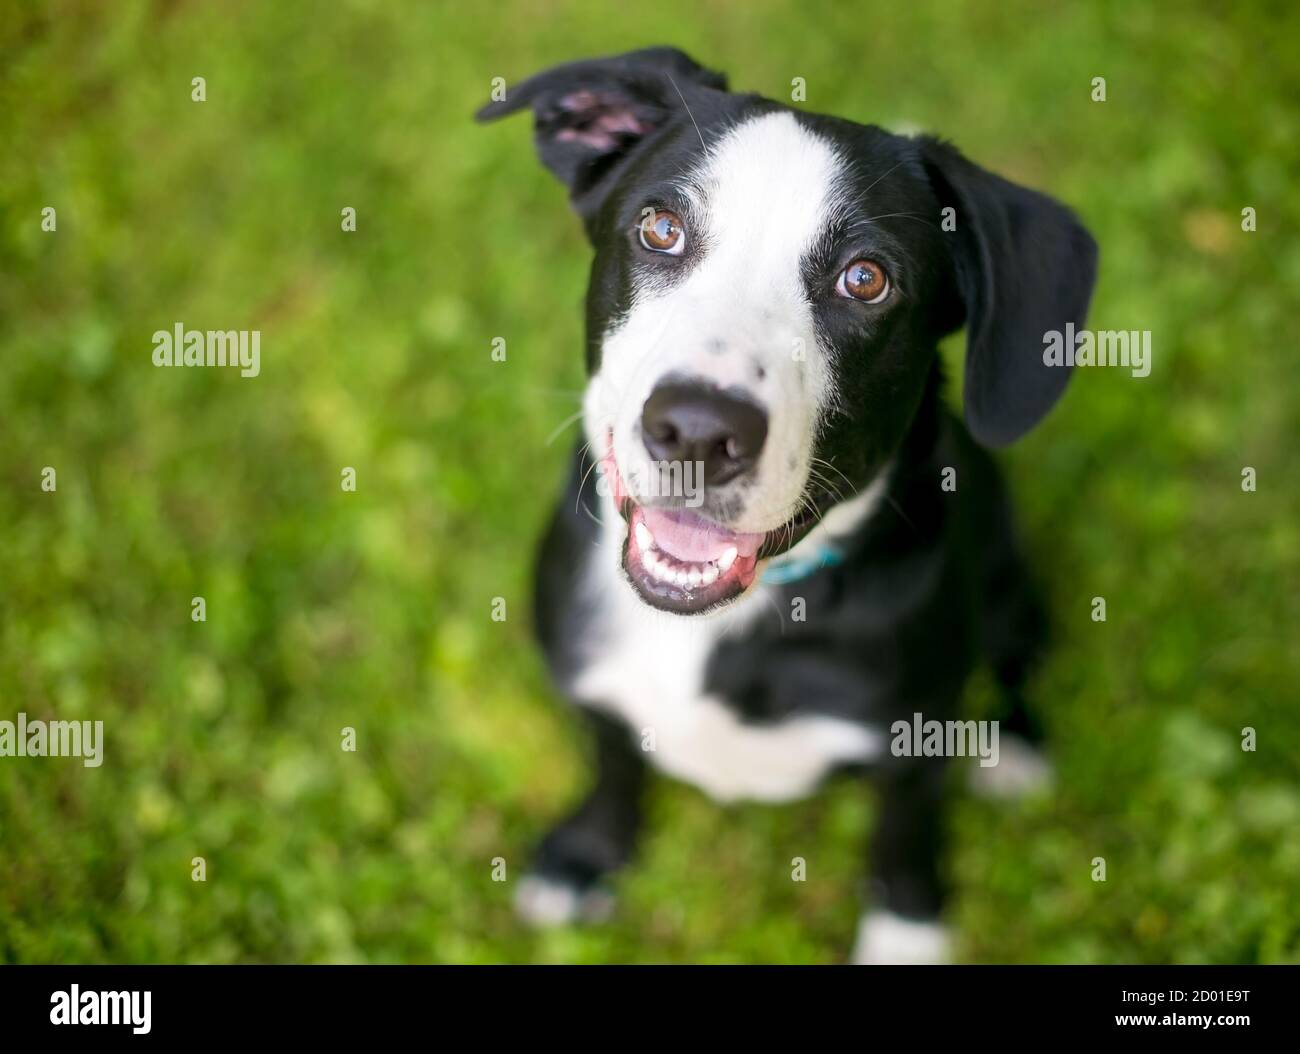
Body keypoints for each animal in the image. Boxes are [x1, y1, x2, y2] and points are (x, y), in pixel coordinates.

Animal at [478, 45, 1097, 961]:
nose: (698, 430)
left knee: (1019, 662)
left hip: (1013, 586)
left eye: (865, 280)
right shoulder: (593, 681)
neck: (723, 626)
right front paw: (587, 854)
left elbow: (903, 843)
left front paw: (905, 938)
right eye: (660, 228)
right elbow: (613, 757)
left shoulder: (918, 746)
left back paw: (1016, 750)